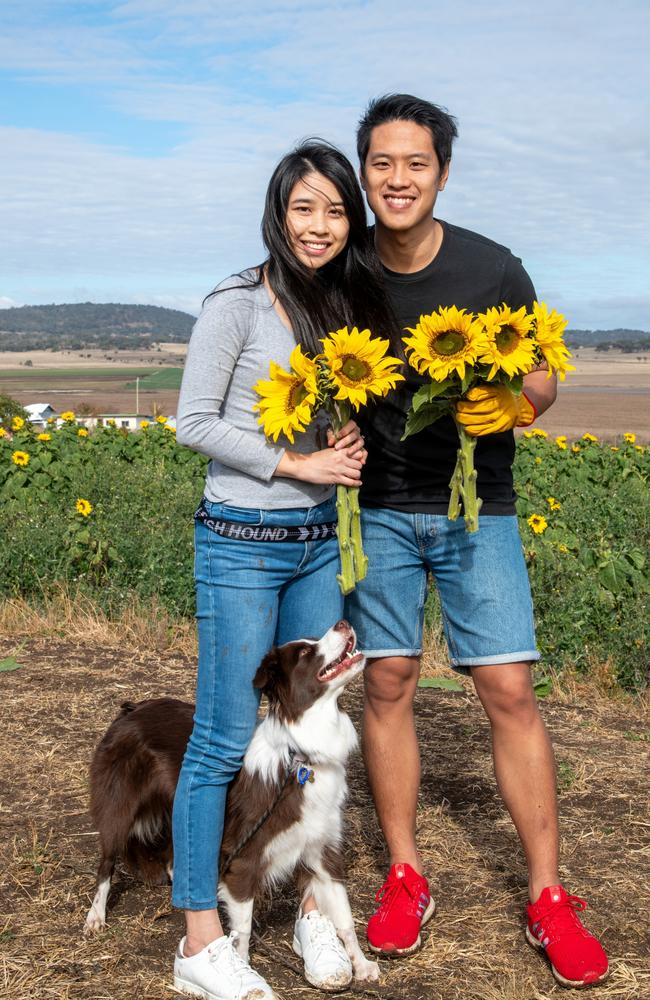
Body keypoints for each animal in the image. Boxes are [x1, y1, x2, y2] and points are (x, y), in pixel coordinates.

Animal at [83, 616, 378, 984]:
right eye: (305, 652)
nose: (342, 622)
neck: (300, 755)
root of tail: (132, 709)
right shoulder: (243, 859)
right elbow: (243, 931)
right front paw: (241, 970)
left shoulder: (324, 850)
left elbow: (345, 917)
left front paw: (361, 964)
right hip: (118, 810)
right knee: (106, 862)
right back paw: (95, 916)